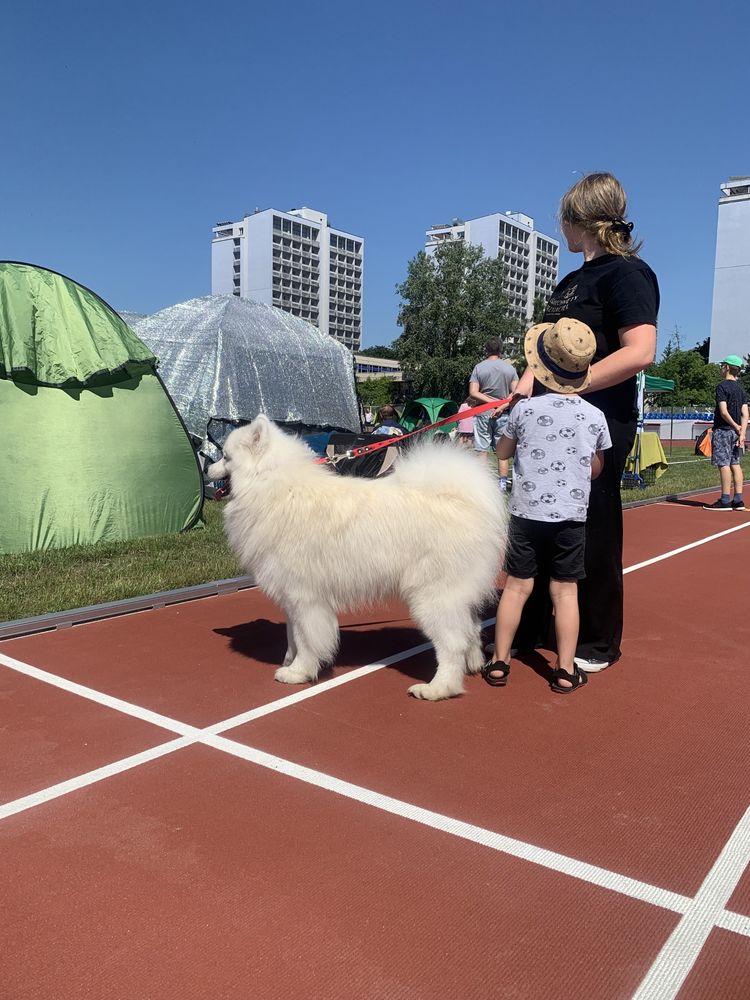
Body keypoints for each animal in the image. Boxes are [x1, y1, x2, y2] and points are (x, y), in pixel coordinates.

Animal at [209, 418, 508, 700]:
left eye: (225, 457)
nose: (208, 470)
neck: (273, 487)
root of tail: (464, 501)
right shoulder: (291, 598)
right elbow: (292, 636)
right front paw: (289, 663)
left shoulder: (305, 598)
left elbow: (306, 640)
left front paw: (299, 672)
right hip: (457, 597)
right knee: (471, 630)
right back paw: (471, 665)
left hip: (432, 597)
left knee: (452, 644)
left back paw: (438, 688)